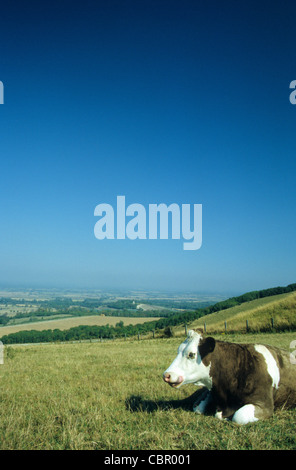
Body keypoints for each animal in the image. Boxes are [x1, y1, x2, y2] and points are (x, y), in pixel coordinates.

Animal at [163, 328, 296, 424]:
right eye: (178, 351)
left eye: (191, 354)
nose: (167, 375)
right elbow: (198, 407)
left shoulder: (265, 405)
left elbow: (239, 416)